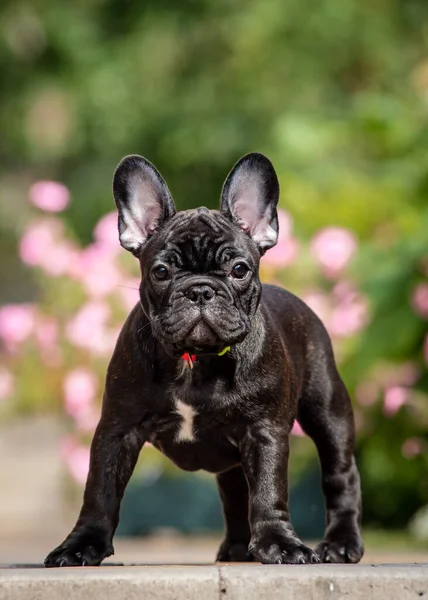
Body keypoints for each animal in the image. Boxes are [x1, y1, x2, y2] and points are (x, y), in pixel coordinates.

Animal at [45, 152, 362, 564]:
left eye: (239, 269)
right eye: (161, 271)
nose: (199, 290)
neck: (195, 359)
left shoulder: (264, 432)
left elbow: (269, 490)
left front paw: (280, 543)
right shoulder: (116, 429)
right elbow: (100, 491)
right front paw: (82, 545)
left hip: (329, 413)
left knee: (340, 475)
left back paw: (341, 543)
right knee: (236, 491)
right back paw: (238, 549)